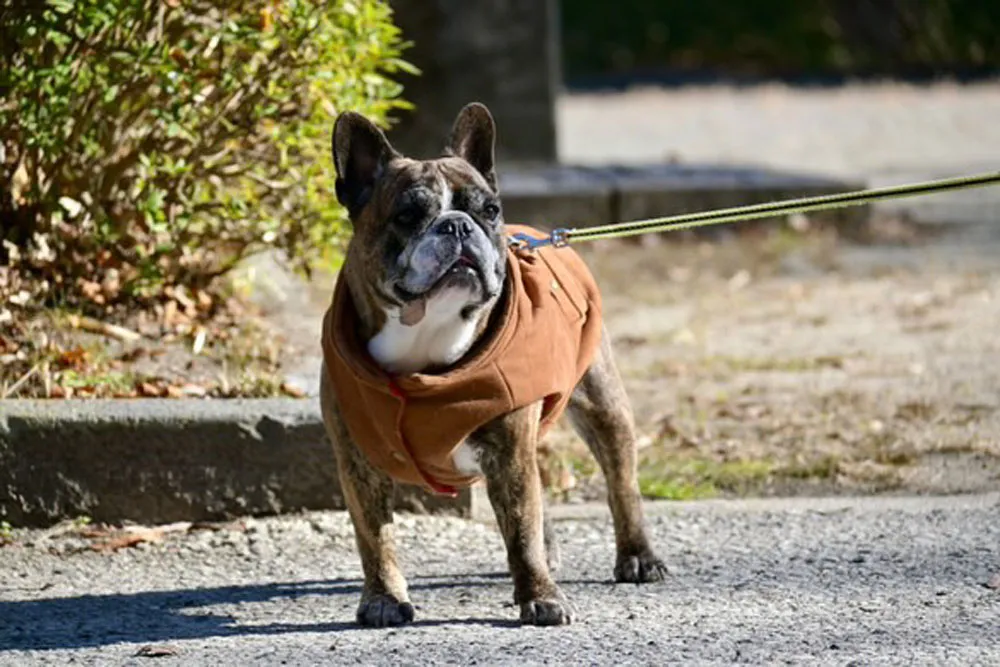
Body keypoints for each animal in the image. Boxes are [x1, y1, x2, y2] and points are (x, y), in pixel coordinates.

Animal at [320, 102, 664, 628]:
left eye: (488, 211)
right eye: (407, 215)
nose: (458, 225)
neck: (428, 334)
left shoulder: (509, 448)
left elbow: (521, 530)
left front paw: (541, 597)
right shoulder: (357, 461)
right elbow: (374, 536)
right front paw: (382, 598)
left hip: (603, 404)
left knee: (621, 482)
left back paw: (638, 555)